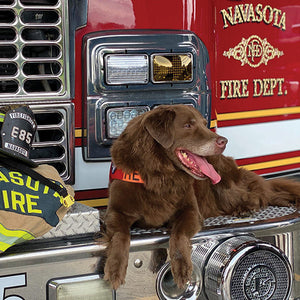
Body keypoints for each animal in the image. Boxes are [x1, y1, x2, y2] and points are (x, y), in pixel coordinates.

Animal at [101, 104, 300, 290]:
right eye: (188, 125)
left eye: (205, 124)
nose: (224, 141)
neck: (160, 175)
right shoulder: (116, 212)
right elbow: (120, 235)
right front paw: (115, 269)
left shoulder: (190, 210)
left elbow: (178, 234)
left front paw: (182, 269)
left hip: (225, 188)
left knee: (258, 194)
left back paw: (245, 208)